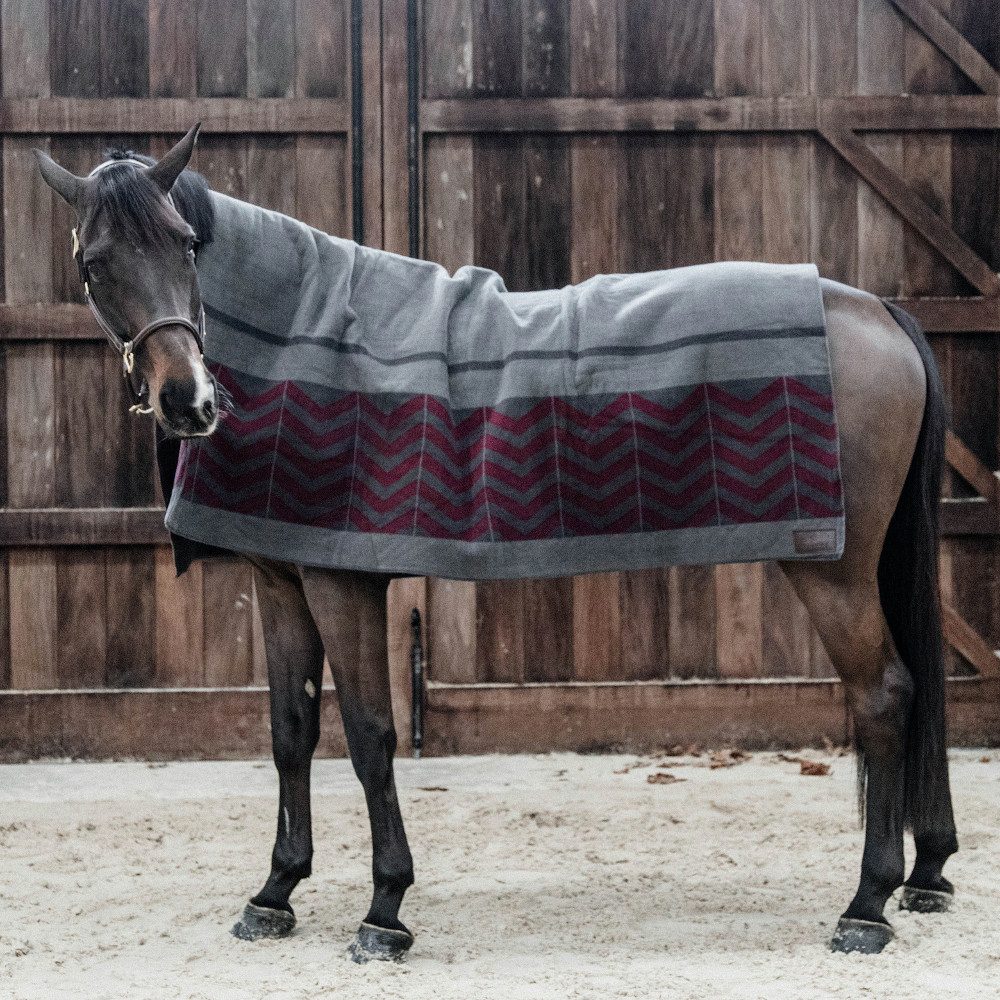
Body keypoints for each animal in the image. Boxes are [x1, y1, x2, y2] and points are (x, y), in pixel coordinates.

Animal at [35, 125, 957, 960]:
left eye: (188, 246)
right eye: (95, 264)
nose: (189, 400)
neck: (300, 332)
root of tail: (873, 310)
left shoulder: (341, 581)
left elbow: (370, 736)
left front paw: (385, 910)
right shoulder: (280, 579)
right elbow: (290, 732)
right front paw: (275, 892)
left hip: (833, 572)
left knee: (884, 697)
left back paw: (866, 907)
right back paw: (923, 874)